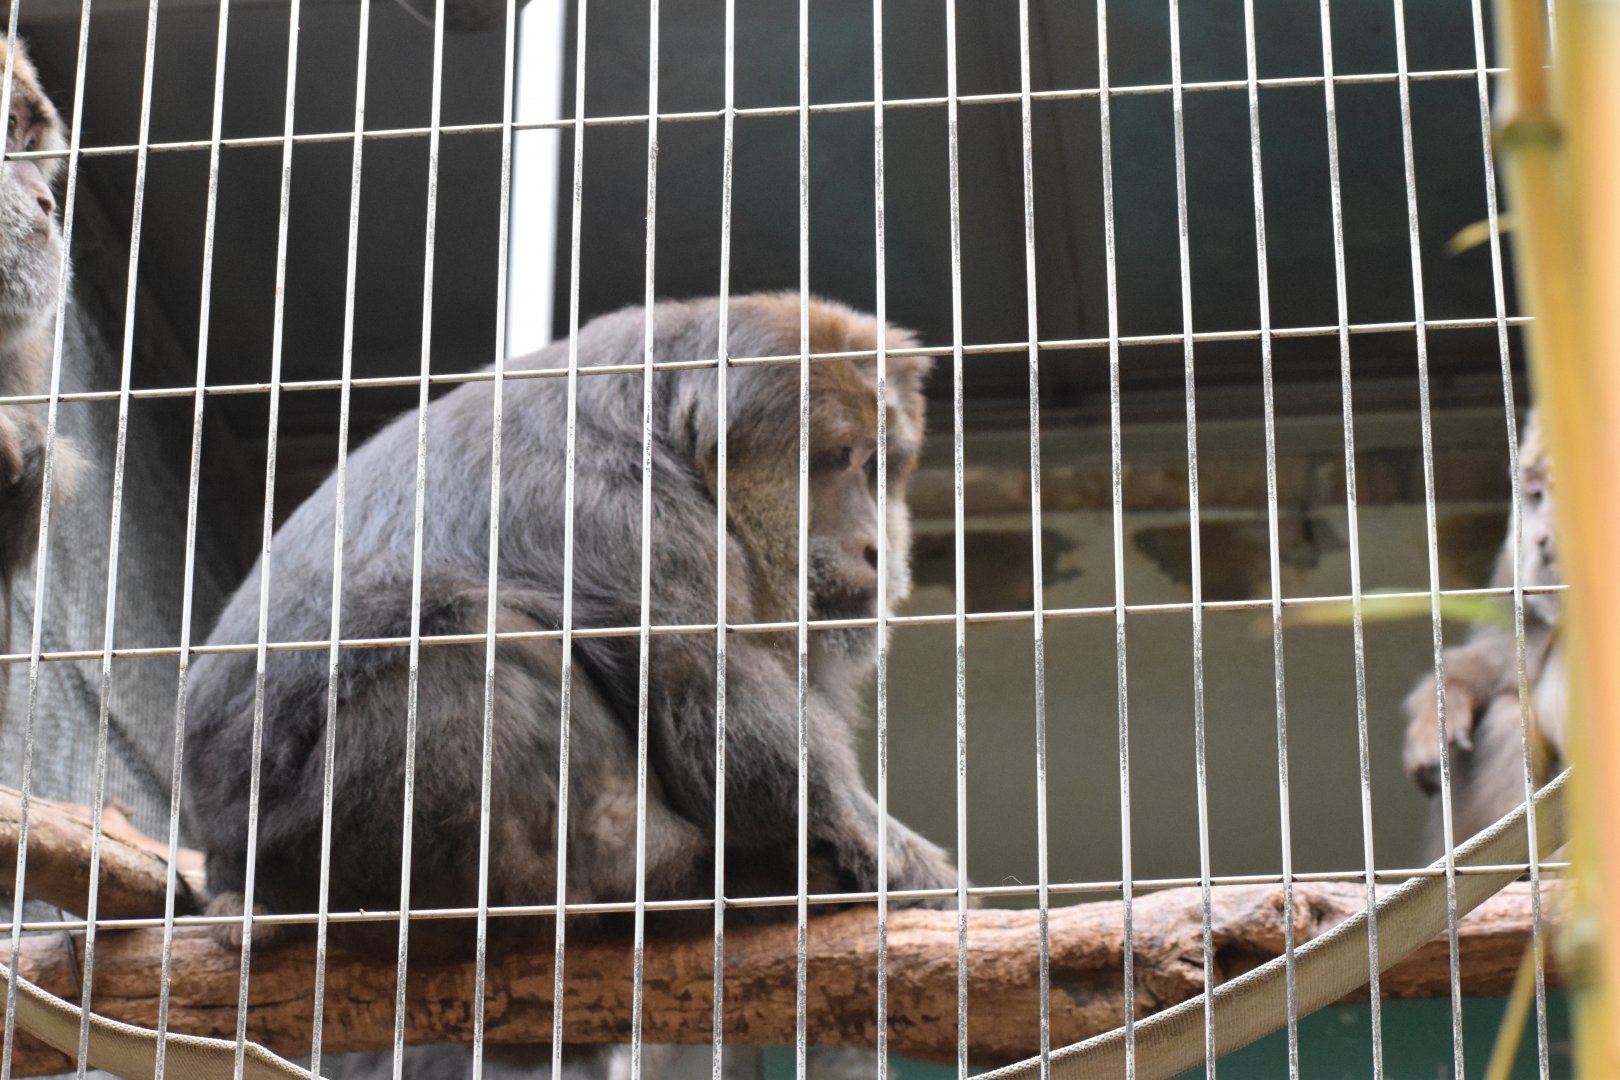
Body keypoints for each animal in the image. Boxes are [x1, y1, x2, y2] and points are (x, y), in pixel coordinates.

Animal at [182, 294, 960, 958]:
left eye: (877, 466)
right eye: (837, 461)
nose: (875, 545)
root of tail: (232, 867)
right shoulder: (616, 506)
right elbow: (711, 696)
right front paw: (902, 865)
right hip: (317, 838)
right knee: (468, 642)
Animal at [1402, 410, 1562, 862]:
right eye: (1536, 495)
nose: (1543, 542)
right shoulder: (1514, 557)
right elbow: (1503, 653)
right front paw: (1442, 706)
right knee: (1510, 714)